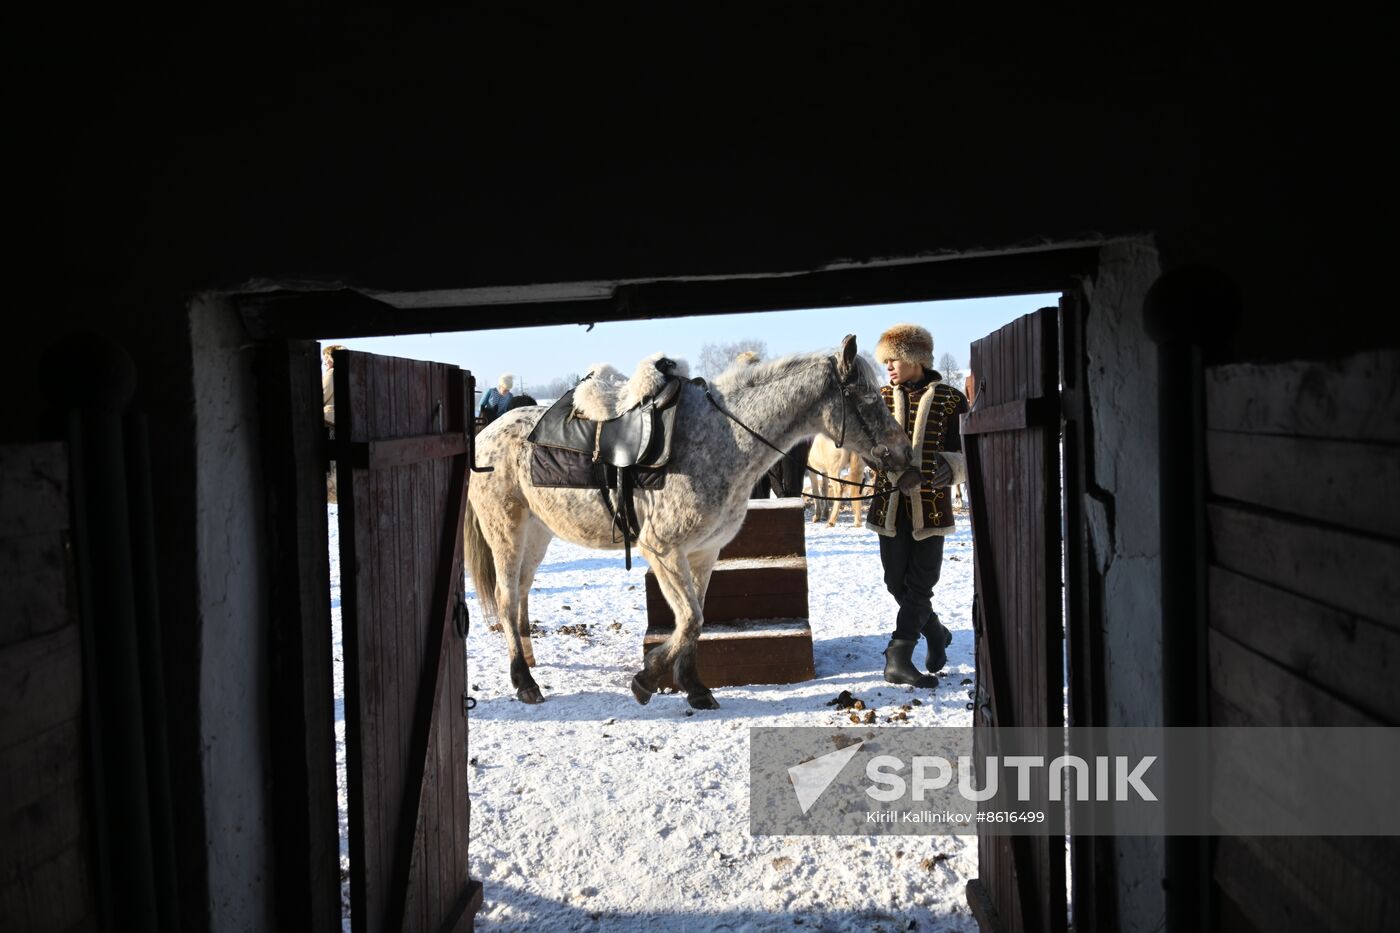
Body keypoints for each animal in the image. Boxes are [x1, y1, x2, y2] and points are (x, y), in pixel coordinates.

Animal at [462, 334, 918, 706]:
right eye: (868, 399)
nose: (906, 456)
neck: (724, 437)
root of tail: (484, 437)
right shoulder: (662, 550)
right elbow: (689, 620)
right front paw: (648, 678)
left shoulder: (703, 552)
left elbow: (696, 621)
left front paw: (694, 686)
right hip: (506, 532)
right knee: (506, 597)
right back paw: (524, 682)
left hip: (537, 533)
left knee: (521, 592)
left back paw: (530, 661)